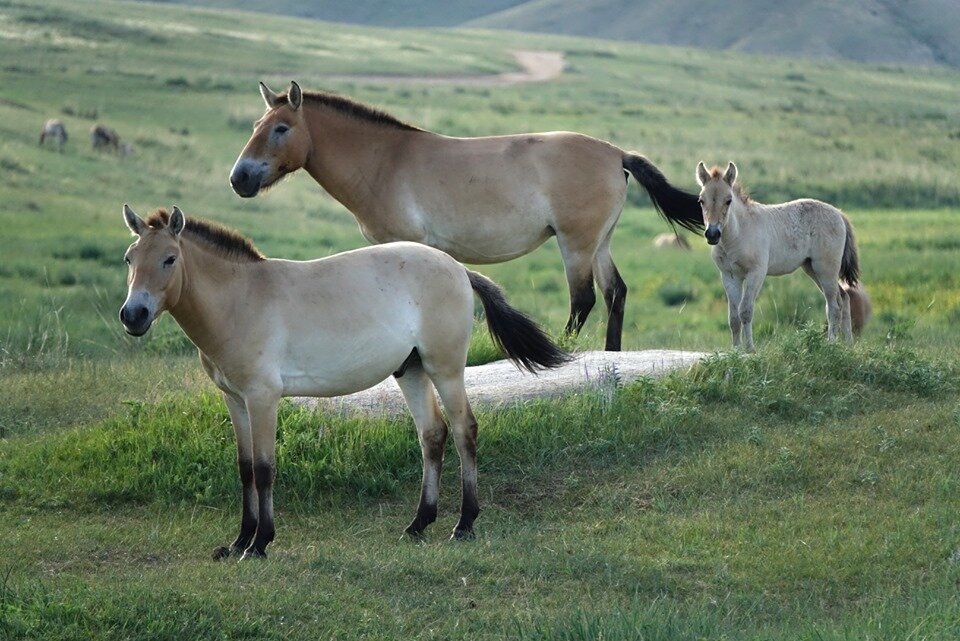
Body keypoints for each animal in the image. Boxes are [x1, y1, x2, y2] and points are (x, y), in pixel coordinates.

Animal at [120, 206, 568, 560]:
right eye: (129, 258)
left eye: (170, 259)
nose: (133, 315)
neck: (241, 299)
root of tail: (457, 268)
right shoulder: (235, 400)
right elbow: (245, 469)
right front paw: (238, 541)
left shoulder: (262, 398)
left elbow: (264, 469)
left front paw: (260, 543)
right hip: (412, 371)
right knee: (432, 435)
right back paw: (418, 524)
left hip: (445, 370)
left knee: (463, 431)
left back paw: (464, 525)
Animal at [228, 81, 700, 350]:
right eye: (255, 125)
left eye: (281, 128)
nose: (240, 177)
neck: (385, 161)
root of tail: (616, 153)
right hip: (599, 243)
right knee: (615, 292)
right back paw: (609, 354)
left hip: (576, 244)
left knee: (583, 299)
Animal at [692, 160, 860, 350]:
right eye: (701, 201)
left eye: (728, 201)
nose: (712, 234)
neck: (738, 233)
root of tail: (839, 213)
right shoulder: (729, 276)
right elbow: (733, 318)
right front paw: (735, 350)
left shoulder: (756, 273)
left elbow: (745, 311)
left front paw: (749, 350)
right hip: (812, 269)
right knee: (844, 298)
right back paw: (848, 344)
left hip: (826, 269)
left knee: (833, 306)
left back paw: (830, 344)